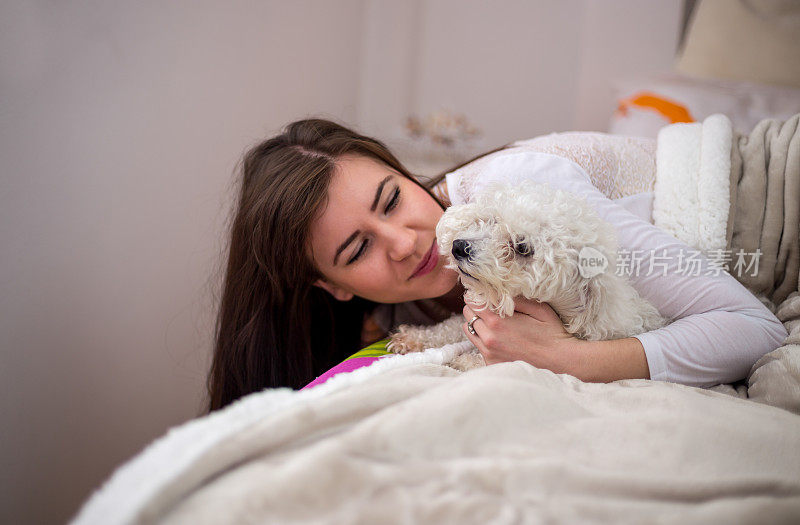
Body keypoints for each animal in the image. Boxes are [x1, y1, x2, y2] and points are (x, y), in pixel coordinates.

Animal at [388, 182, 668, 370]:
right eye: (491, 219)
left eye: (522, 247)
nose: (458, 246)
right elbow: (451, 326)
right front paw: (412, 338)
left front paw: (463, 361)